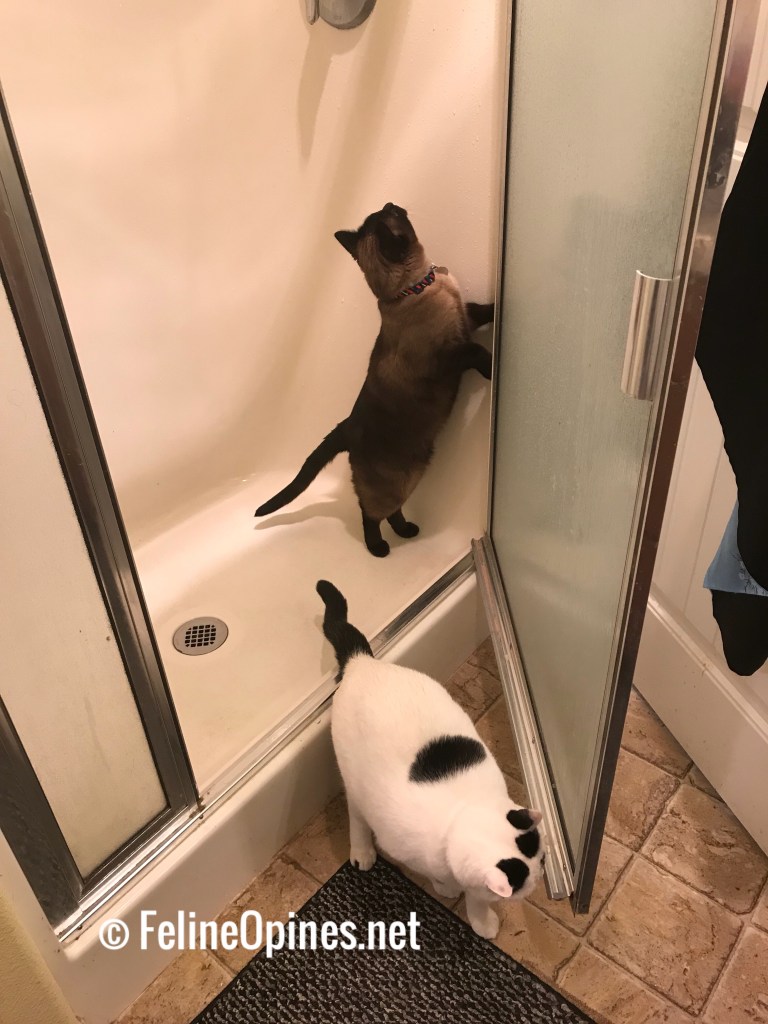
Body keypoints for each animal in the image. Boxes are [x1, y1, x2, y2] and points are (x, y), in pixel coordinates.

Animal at [254, 203, 493, 557]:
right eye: (390, 216)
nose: (392, 204)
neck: (419, 287)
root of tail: (347, 425)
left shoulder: (468, 317)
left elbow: (484, 308)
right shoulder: (448, 356)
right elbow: (477, 352)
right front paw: (494, 365)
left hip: (412, 474)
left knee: (392, 510)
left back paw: (408, 531)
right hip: (391, 483)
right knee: (370, 513)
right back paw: (379, 548)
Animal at [315, 579, 545, 939]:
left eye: (544, 860)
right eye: (531, 873)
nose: (539, 878)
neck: (460, 816)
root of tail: (361, 663)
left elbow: (477, 899)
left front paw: (480, 919)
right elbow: (448, 880)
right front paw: (446, 888)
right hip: (354, 777)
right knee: (356, 813)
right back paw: (362, 851)